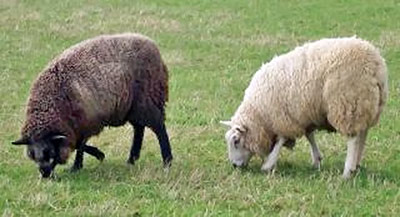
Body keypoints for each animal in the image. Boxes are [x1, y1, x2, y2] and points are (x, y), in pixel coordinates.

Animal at [12, 32, 172, 178]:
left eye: (48, 151)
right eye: (32, 153)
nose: (45, 174)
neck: (53, 103)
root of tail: (153, 46)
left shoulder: (84, 120)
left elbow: (80, 144)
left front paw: (81, 164)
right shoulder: (76, 125)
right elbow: (78, 143)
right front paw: (93, 157)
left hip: (147, 99)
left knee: (159, 128)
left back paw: (167, 161)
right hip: (131, 107)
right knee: (139, 129)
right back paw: (132, 160)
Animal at [222, 36, 388, 178]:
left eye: (236, 141)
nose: (234, 166)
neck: (260, 114)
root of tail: (376, 66)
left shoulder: (284, 116)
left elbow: (282, 139)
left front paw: (268, 164)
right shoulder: (304, 114)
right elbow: (309, 135)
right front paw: (316, 160)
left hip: (348, 102)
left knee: (353, 138)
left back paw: (348, 171)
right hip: (367, 104)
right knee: (363, 134)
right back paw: (357, 164)